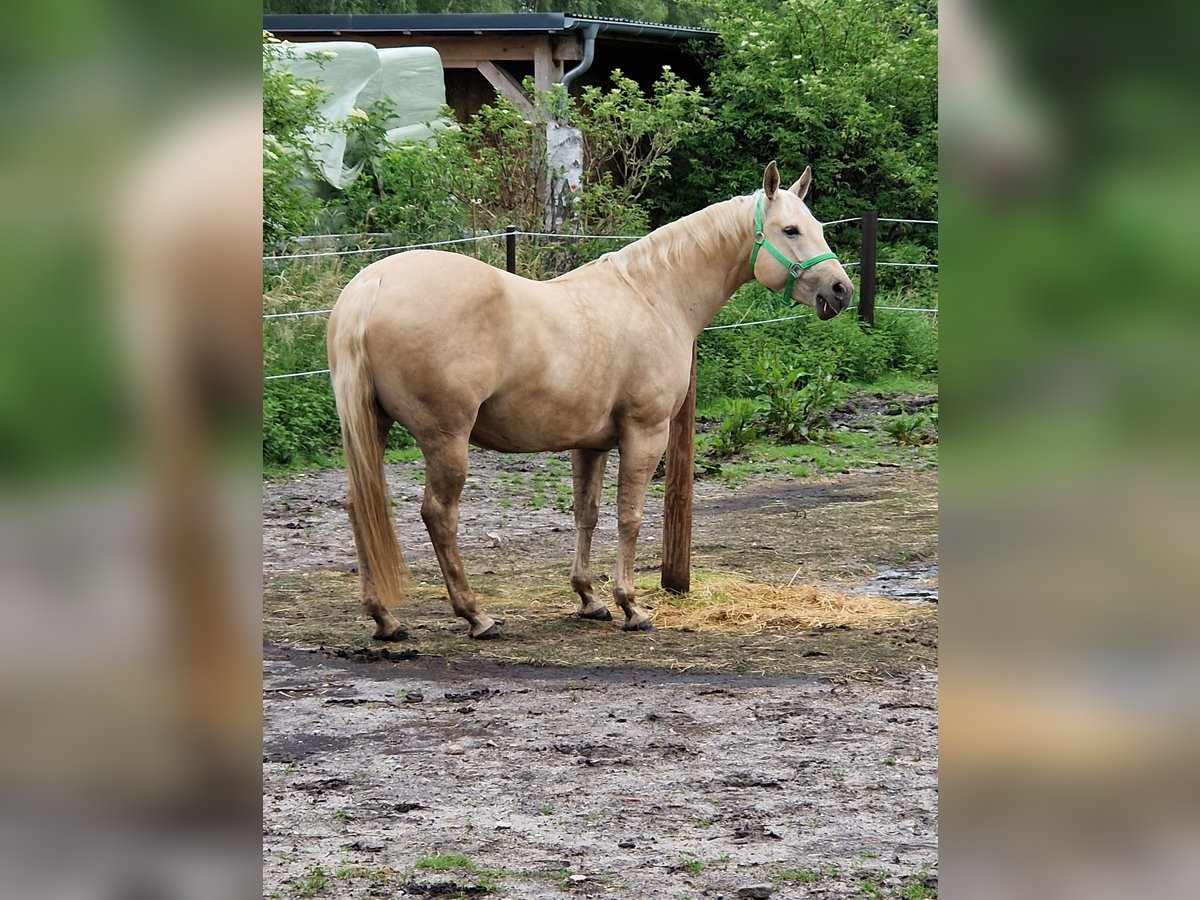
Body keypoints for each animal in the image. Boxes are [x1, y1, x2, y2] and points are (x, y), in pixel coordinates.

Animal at [328, 162, 854, 643]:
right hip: (446, 440)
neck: (653, 296)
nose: (840, 289)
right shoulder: (645, 433)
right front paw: (631, 606)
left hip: (373, 428)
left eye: (818, 228)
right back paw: (476, 616)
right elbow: (629, 516)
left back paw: (385, 620)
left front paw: (589, 599)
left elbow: (587, 513)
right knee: (438, 515)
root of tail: (371, 286)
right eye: (790, 230)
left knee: (359, 505)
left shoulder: (590, 444)